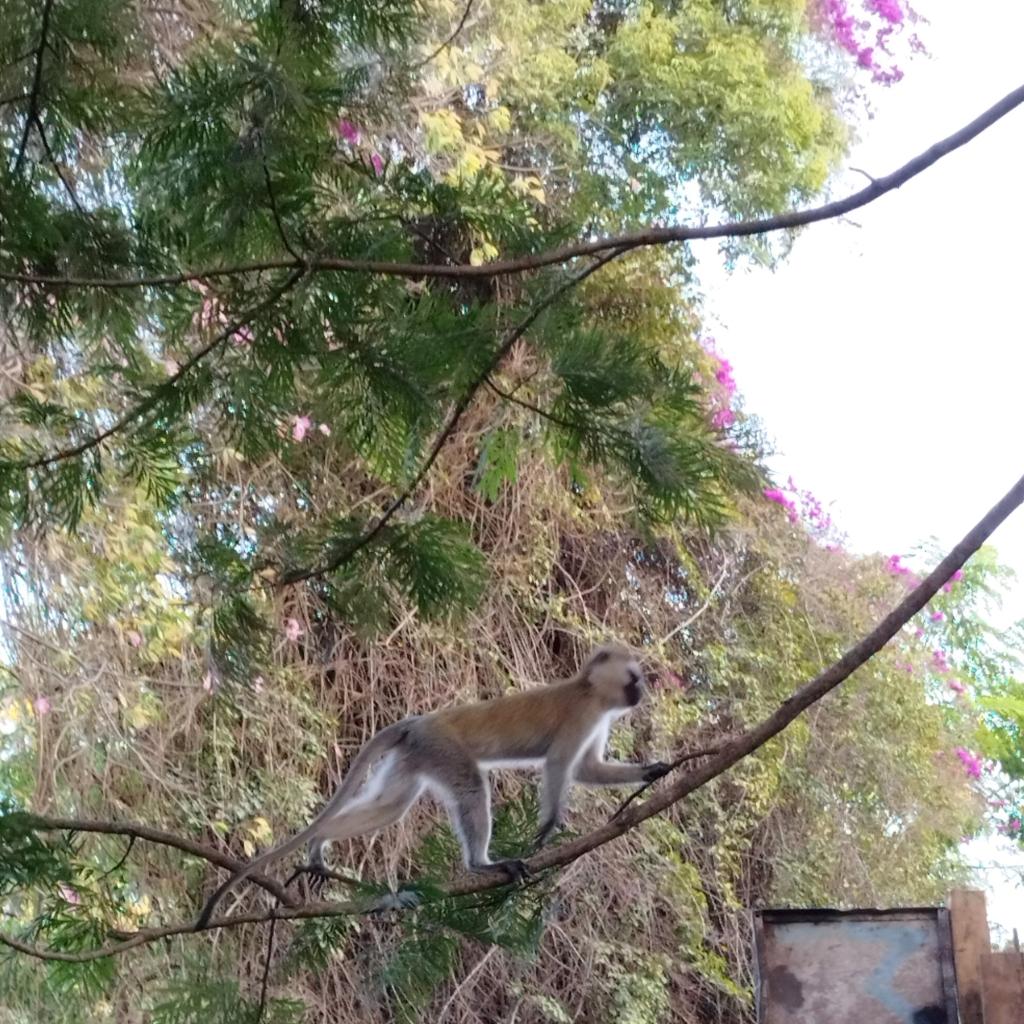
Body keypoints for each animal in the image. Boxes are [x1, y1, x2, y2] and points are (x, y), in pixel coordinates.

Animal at [195, 644, 670, 929]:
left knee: (391, 806)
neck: (590, 691)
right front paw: (549, 826)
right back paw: (480, 864)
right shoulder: (581, 714)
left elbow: (587, 769)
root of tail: (419, 720)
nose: (642, 692)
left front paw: (654, 770)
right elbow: (559, 767)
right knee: (472, 785)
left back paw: (319, 843)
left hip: (416, 755)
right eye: (635, 677)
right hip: (442, 747)